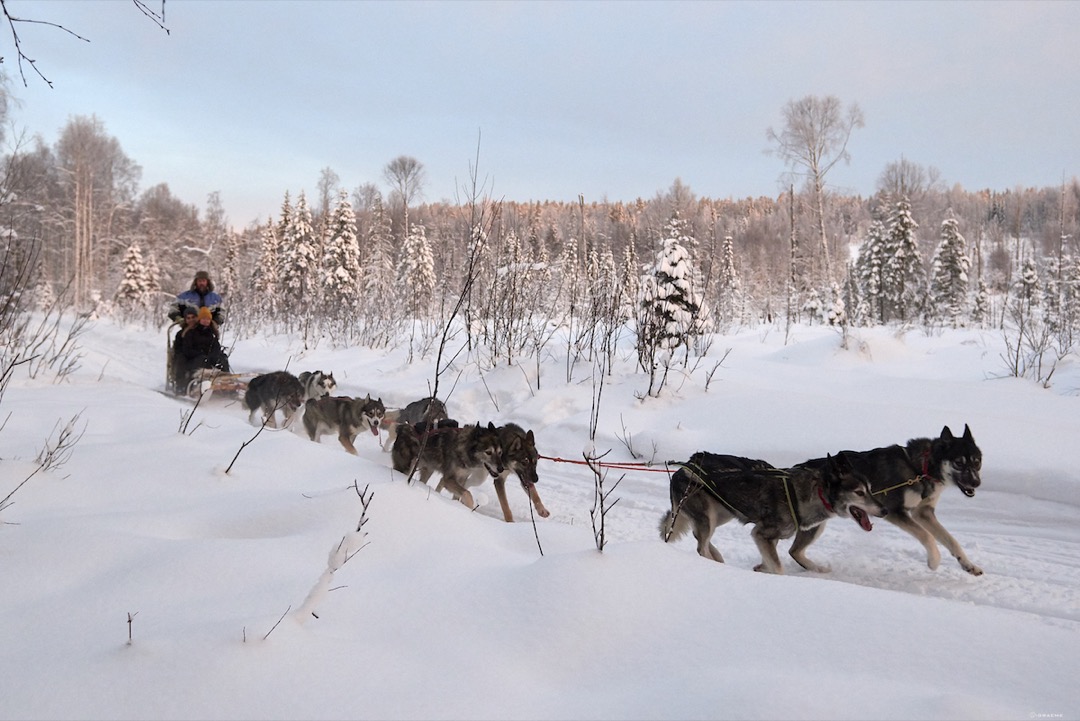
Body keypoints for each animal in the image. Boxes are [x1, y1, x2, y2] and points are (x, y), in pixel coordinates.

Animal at [656, 451, 885, 574]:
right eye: (859, 492)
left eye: (870, 489)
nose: (884, 509)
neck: (810, 494)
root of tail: (683, 468)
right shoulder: (762, 534)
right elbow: (779, 567)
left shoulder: (769, 538)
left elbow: (772, 560)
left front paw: (762, 567)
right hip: (707, 517)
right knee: (701, 546)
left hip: (721, 514)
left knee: (700, 538)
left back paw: (718, 558)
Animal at [799, 423, 984, 574]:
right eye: (959, 462)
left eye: (977, 462)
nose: (976, 483)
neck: (921, 468)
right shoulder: (895, 511)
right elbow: (926, 536)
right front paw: (934, 561)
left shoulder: (923, 513)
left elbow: (951, 540)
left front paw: (968, 565)